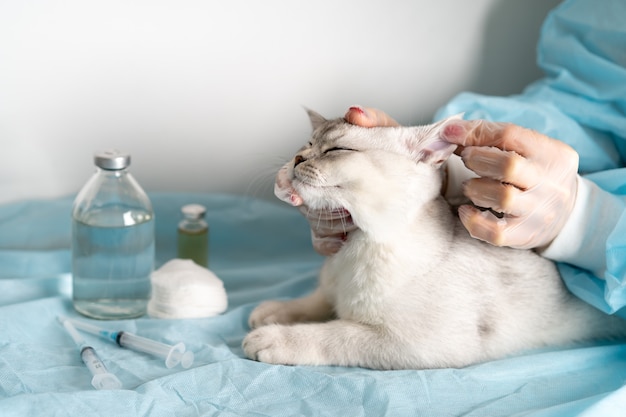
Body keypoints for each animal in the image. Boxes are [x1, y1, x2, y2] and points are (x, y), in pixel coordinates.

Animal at [241, 109, 620, 368]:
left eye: (337, 150)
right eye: (306, 145)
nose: (297, 159)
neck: (354, 250)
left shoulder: (418, 342)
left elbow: (338, 333)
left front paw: (274, 338)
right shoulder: (334, 286)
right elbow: (318, 300)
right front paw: (277, 311)